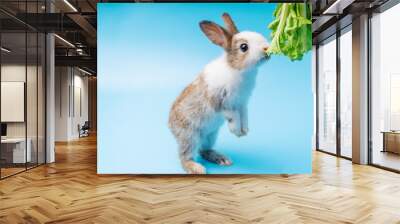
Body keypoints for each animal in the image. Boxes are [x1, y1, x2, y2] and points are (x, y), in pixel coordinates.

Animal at [169, 13, 268, 174]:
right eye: (244, 47)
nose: (267, 48)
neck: (236, 69)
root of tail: (170, 126)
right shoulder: (221, 101)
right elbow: (233, 116)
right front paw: (237, 131)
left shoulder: (243, 103)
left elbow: (244, 115)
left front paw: (245, 130)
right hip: (189, 137)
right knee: (186, 156)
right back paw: (196, 168)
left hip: (211, 135)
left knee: (204, 150)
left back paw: (221, 159)